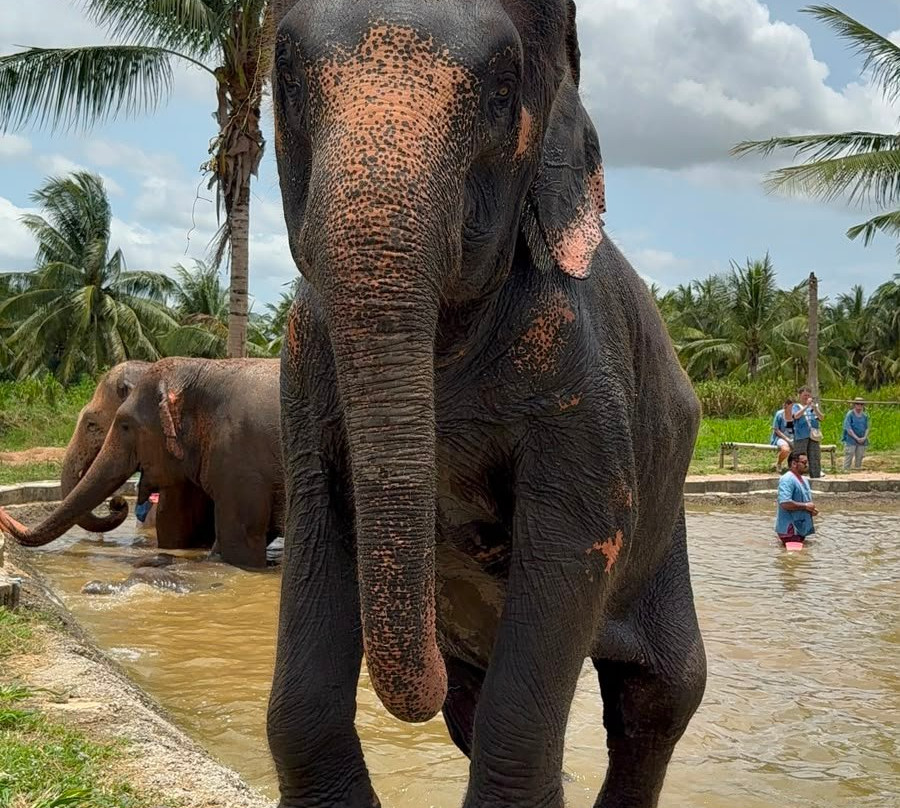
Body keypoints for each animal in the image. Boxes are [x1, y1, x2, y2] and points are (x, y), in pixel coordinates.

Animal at [265, 1, 706, 807]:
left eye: (502, 90)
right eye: (285, 73)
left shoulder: (579, 366)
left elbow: (573, 538)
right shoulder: (304, 359)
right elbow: (316, 519)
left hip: (668, 534)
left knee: (658, 694)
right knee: (476, 705)